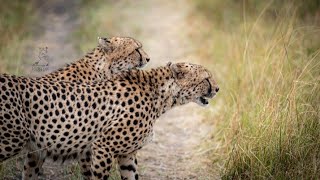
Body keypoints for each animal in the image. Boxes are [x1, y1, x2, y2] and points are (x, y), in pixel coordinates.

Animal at [0, 61, 219, 179]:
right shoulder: (102, 147)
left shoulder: (127, 154)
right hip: (10, 141)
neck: (160, 96)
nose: (217, 89)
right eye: (206, 79)